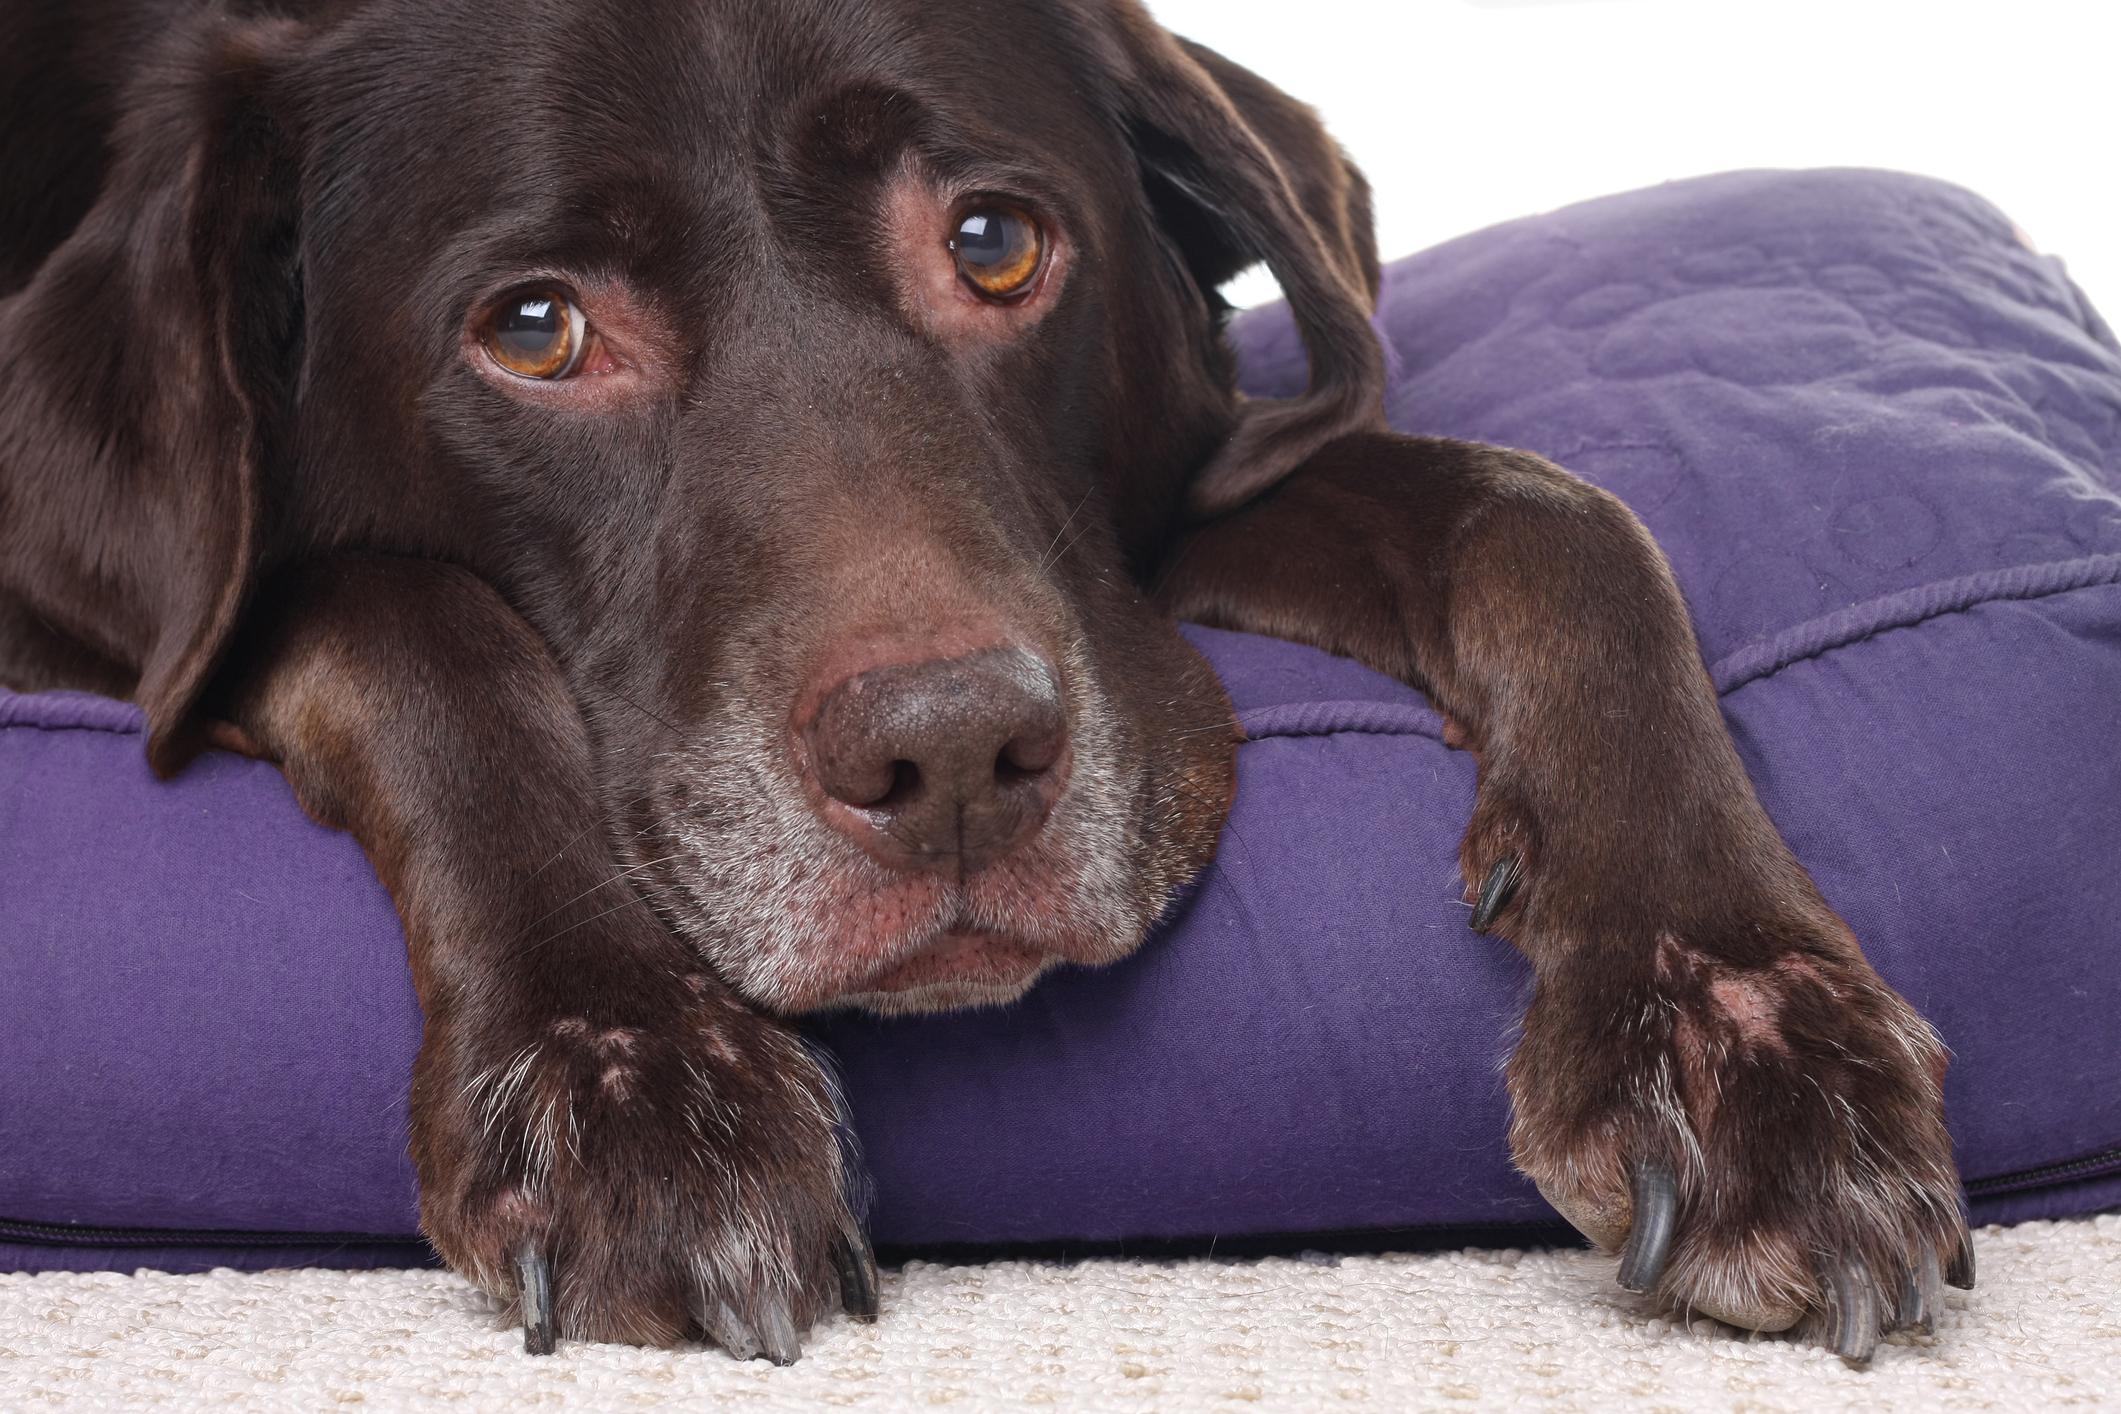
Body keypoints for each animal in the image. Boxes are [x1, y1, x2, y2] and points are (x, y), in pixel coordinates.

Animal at [4, 0, 1968, 1373]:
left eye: (994, 242)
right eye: (537, 330)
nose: (948, 757)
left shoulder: (1183, 505)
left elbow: (1553, 515)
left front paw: (1738, 1016)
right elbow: (404, 611)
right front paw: (623, 1067)